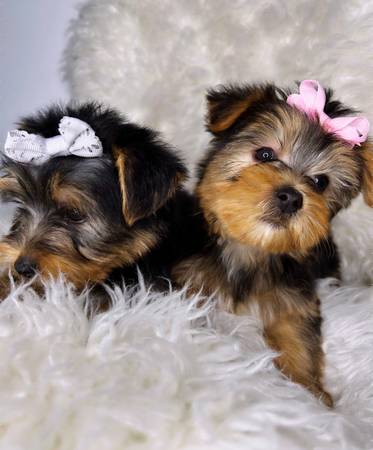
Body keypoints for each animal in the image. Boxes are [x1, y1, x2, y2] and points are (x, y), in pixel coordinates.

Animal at [171, 81, 372, 408]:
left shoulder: (295, 301)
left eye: (320, 182)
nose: (291, 197)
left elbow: (298, 337)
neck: (250, 250)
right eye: (265, 154)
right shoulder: (192, 283)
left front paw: (309, 390)